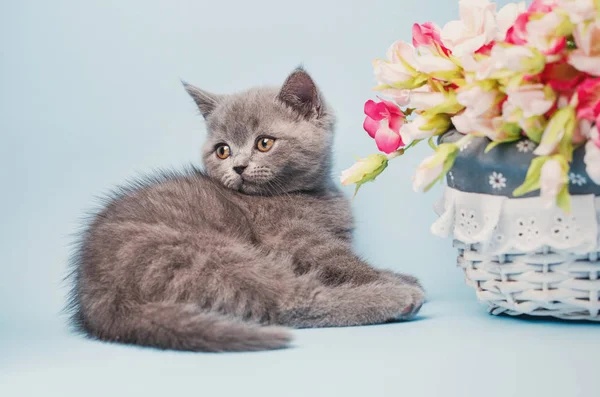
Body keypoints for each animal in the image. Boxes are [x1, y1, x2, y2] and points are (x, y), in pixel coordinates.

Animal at [68, 68, 424, 350]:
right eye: (222, 150)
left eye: (264, 143)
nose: (238, 167)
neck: (308, 194)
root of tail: (99, 301)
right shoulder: (299, 241)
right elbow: (345, 263)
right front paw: (394, 279)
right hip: (211, 254)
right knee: (291, 301)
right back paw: (397, 298)